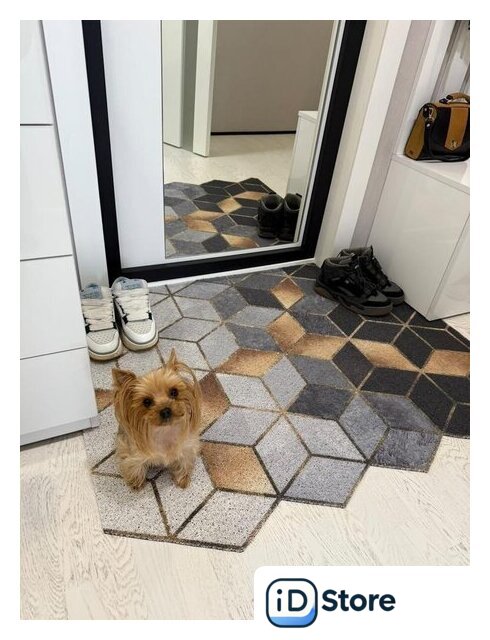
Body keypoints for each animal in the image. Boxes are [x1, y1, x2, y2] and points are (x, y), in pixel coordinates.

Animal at [112, 349, 202, 490]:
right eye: (146, 402)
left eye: (174, 392)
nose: (165, 410)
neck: (165, 430)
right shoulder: (134, 453)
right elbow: (134, 466)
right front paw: (136, 483)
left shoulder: (187, 446)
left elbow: (184, 462)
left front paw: (183, 479)